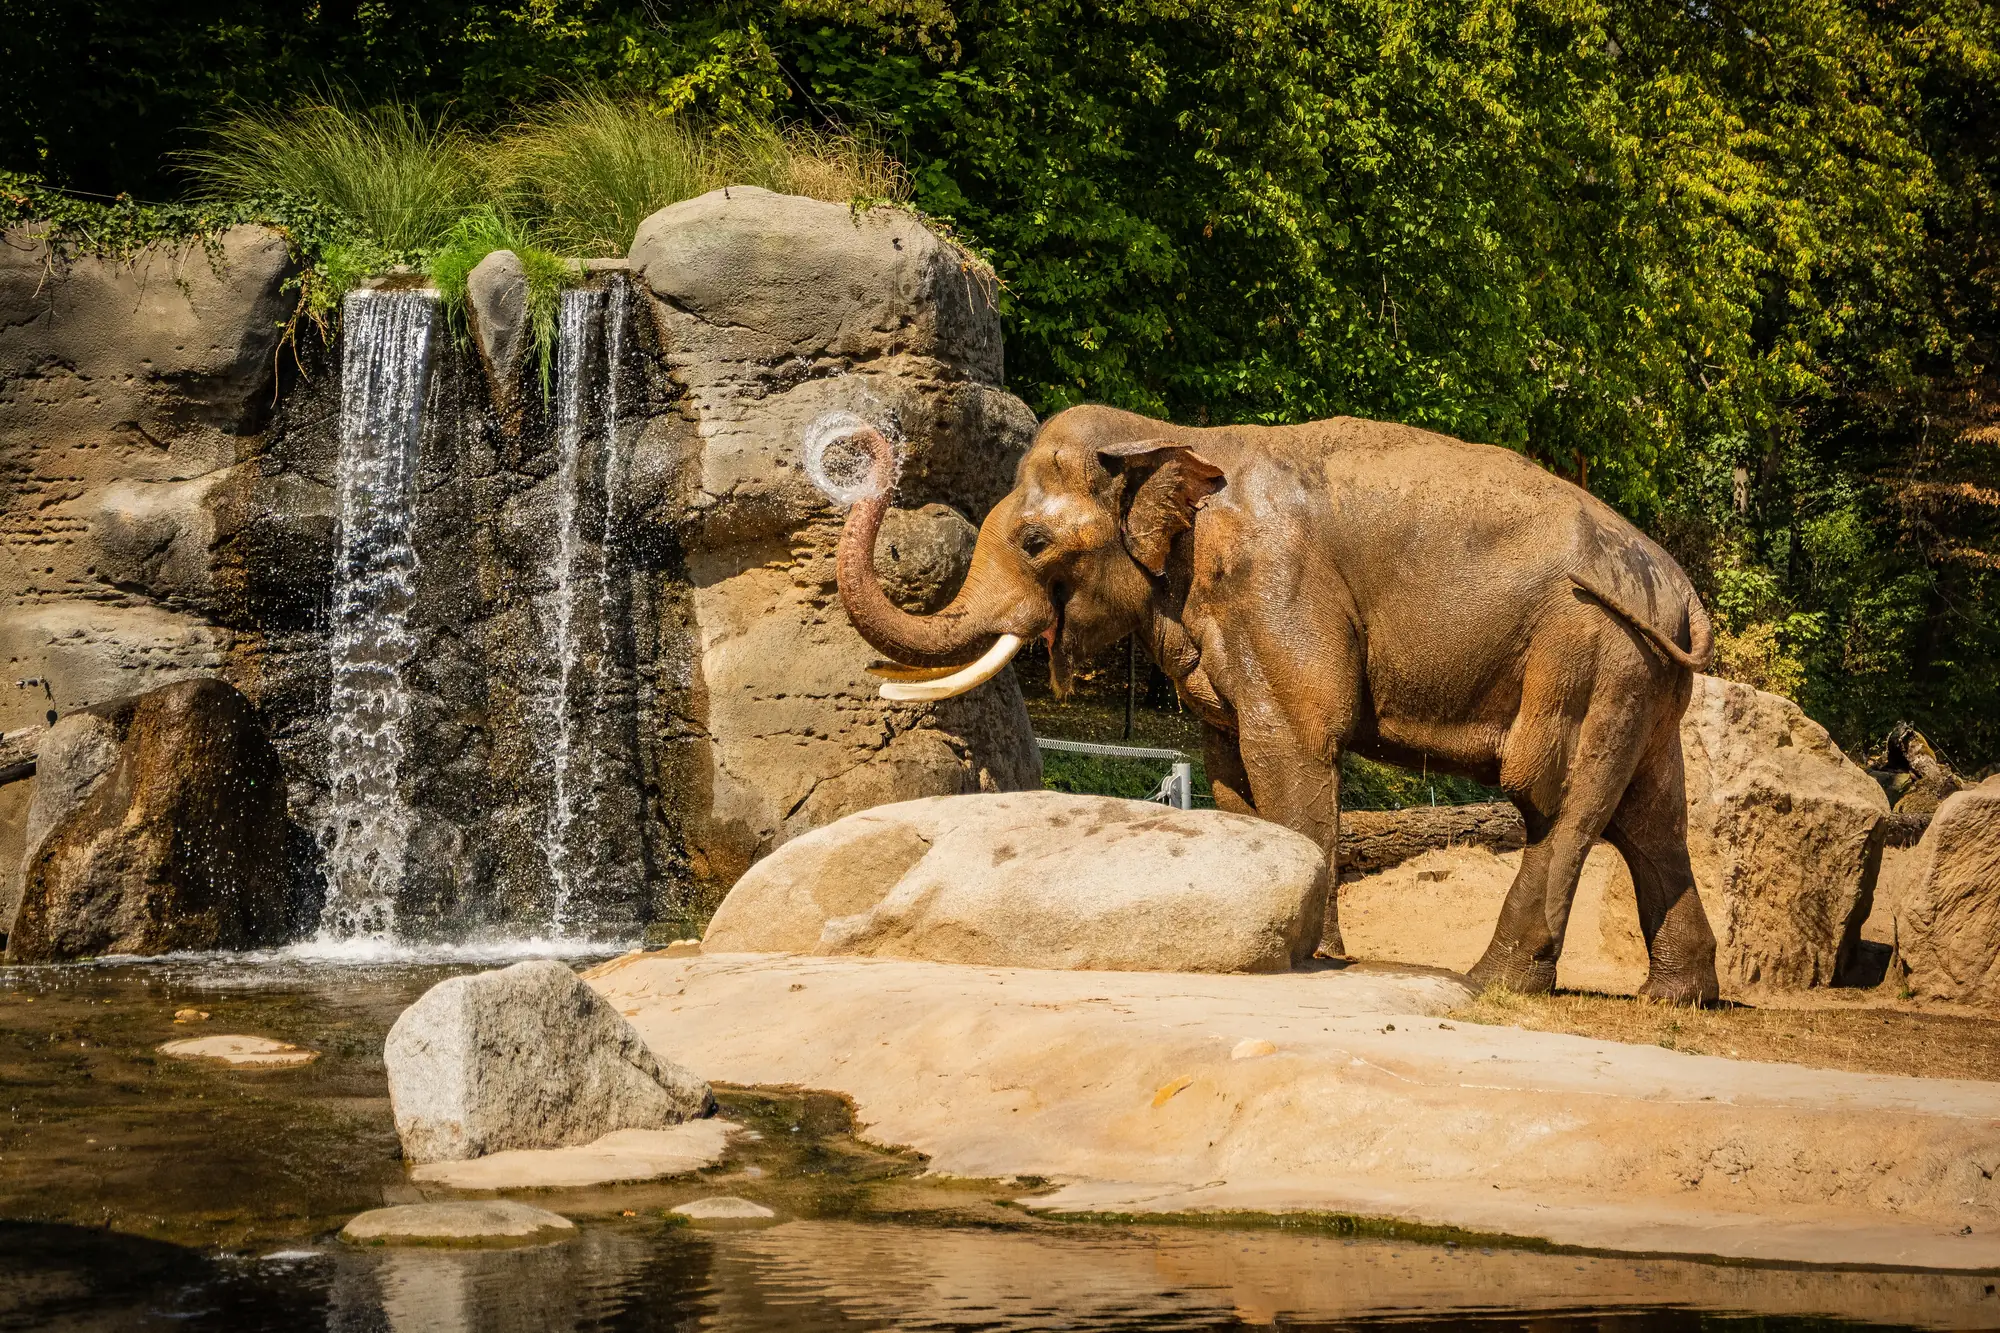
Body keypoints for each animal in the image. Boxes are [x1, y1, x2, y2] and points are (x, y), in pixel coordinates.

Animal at [833, 405, 1722, 1004]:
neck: (1169, 434)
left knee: (1555, 797)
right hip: (1640, 676)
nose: (860, 444)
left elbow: (1292, 740)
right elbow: (1229, 762)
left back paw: (1497, 979)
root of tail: (1682, 589)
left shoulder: (1276, 588)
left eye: (1034, 542)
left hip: (1590, 649)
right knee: (1651, 815)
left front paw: (1314, 957)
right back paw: (1675, 996)